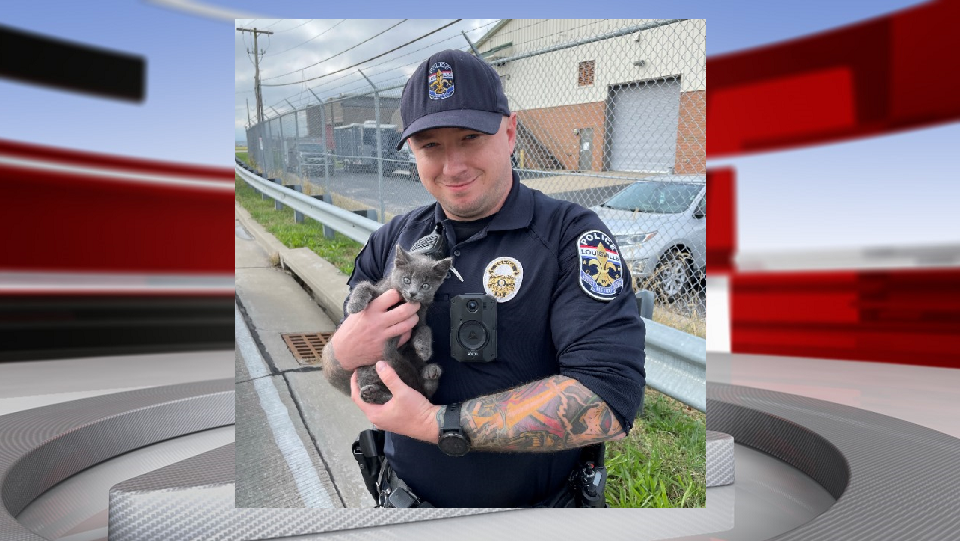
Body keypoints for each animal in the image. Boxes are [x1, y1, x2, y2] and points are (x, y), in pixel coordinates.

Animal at [344, 245, 452, 404]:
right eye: (407, 279)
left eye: (425, 285)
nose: (413, 293)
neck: (403, 302)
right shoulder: (381, 291)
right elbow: (364, 285)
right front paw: (355, 304)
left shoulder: (418, 319)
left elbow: (425, 328)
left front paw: (424, 350)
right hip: (366, 370)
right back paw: (373, 394)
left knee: (421, 392)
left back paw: (430, 372)